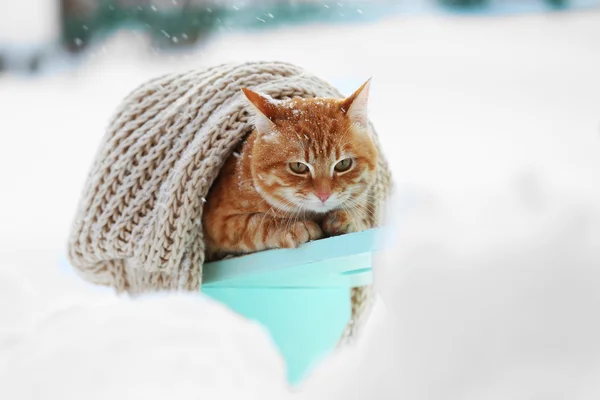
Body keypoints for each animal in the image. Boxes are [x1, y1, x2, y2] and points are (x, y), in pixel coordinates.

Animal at [204, 79, 378, 260]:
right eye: (298, 166)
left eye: (343, 164)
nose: (324, 195)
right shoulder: (219, 223)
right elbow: (257, 222)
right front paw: (294, 227)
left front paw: (349, 217)